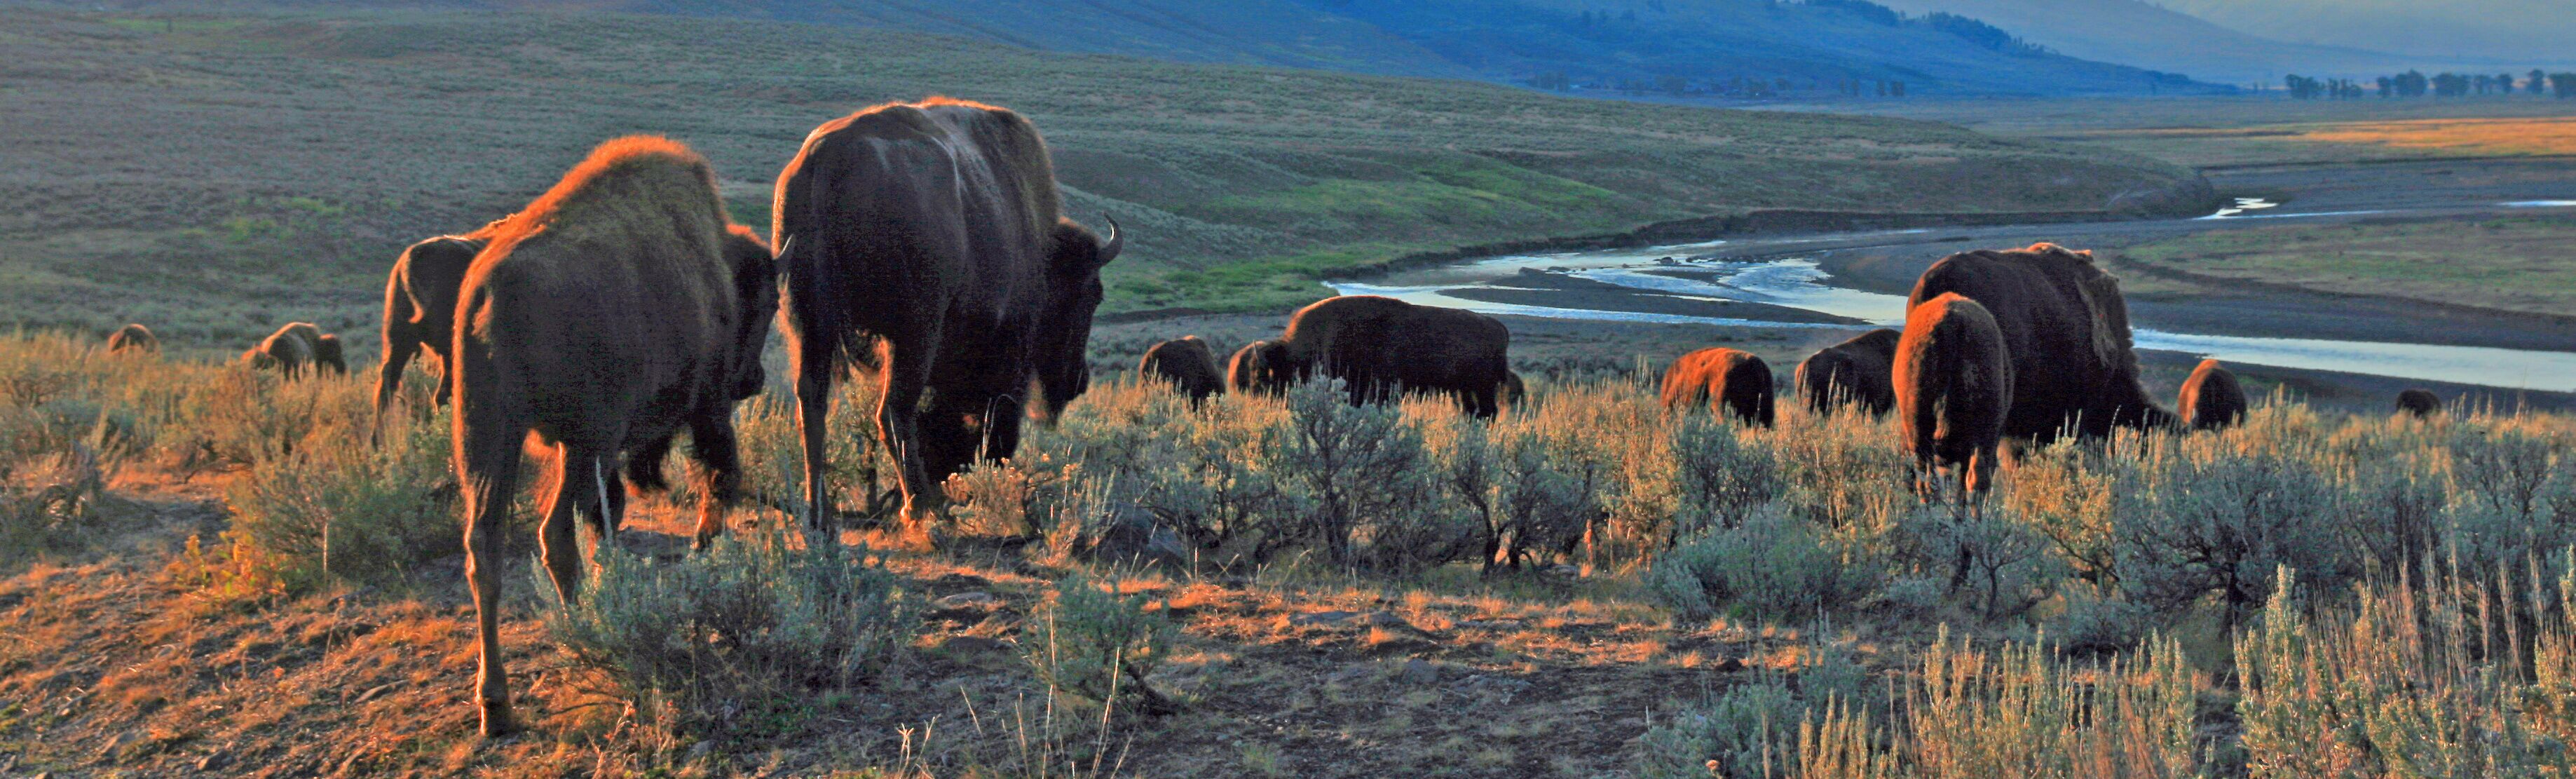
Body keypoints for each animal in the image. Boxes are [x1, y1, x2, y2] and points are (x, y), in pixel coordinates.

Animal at [449, 136, 776, 737]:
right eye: (767, 304)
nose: (755, 379)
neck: (714, 261)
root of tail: (493, 293)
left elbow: (609, 520)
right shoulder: (706, 406)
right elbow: (719, 476)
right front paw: (700, 550)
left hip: (487, 437)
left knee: (483, 546)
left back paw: (496, 704)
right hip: (586, 443)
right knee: (554, 534)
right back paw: (588, 634)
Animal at [775, 98, 1122, 530]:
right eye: (1091, 296)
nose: (1079, 380)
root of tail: (825, 160)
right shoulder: (1007, 353)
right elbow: (996, 422)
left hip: (807, 322)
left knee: (813, 403)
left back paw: (819, 513)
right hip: (912, 332)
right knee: (893, 411)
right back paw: (919, 505)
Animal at [1225, 295, 1512, 418]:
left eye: (1262, 378)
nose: (1254, 405)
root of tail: (1498, 327)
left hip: (1482, 387)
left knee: (1487, 412)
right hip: (1466, 389)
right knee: (1474, 412)